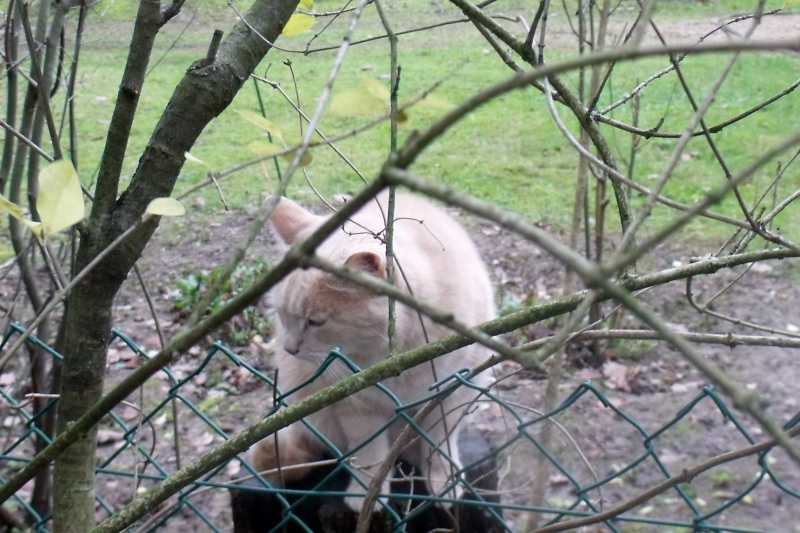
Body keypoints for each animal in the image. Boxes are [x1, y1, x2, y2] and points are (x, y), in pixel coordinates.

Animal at [250, 191, 496, 512]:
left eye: (314, 322)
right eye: (282, 316)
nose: (290, 349)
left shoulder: (453, 393)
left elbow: (440, 441)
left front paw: (444, 479)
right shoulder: (358, 409)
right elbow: (370, 455)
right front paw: (366, 495)